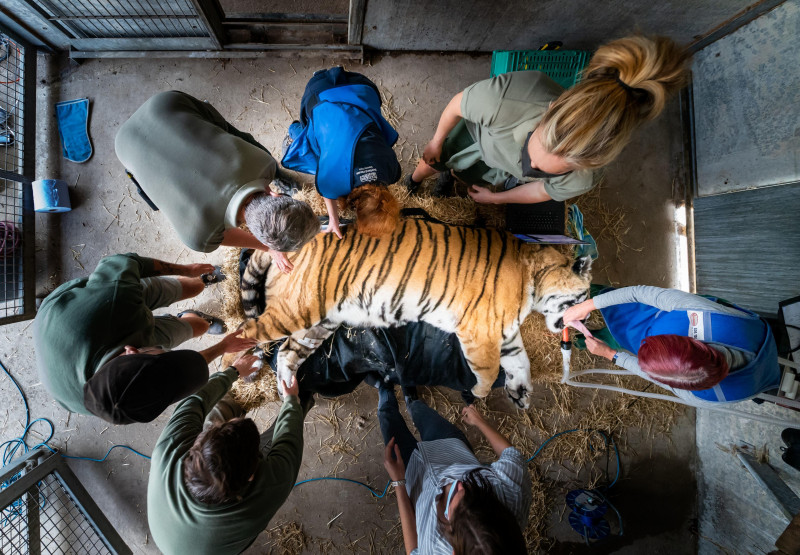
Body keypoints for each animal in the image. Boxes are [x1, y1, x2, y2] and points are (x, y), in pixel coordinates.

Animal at [240, 217, 591, 408]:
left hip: (319, 323)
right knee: (245, 334)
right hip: (296, 310)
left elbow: (520, 363)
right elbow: (490, 371)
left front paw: (520, 395)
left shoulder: (505, 335)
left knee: (286, 354)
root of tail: (292, 245)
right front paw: (478, 392)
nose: (587, 323)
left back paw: (288, 394)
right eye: (587, 299)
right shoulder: (480, 332)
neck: (534, 278)